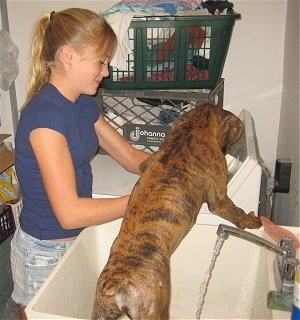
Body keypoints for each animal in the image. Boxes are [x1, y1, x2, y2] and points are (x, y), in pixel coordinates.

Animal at [92, 104, 262, 318]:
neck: (192, 128)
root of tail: (117, 283)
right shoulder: (220, 199)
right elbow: (237, 212)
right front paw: (254, 220)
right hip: (156, 310)